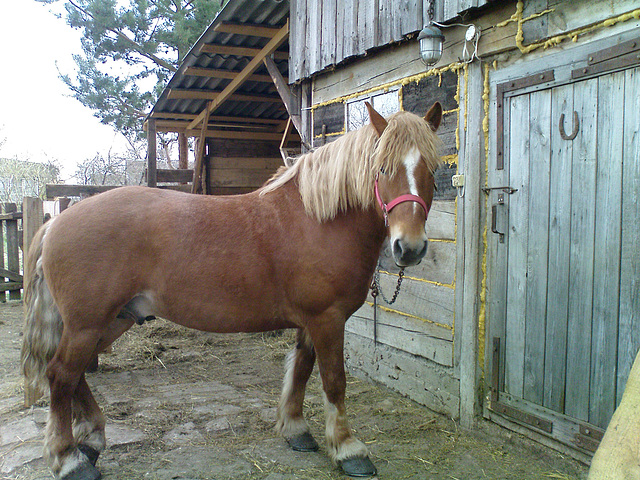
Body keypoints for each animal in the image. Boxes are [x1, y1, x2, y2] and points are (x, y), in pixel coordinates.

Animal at [21, 101, 442, 480]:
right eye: (383, 168)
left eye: (433, 169)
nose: (410, 248)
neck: (317, 219)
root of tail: (56, 221)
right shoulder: (327, 319)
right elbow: (334, 381)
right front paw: (348, 449)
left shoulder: (311, 321)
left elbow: (301, 370)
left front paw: (296, 430)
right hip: (88, 324)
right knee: (61, 375)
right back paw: (69, 460)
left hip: (112, 320)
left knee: (72, 375)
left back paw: (91, 441)